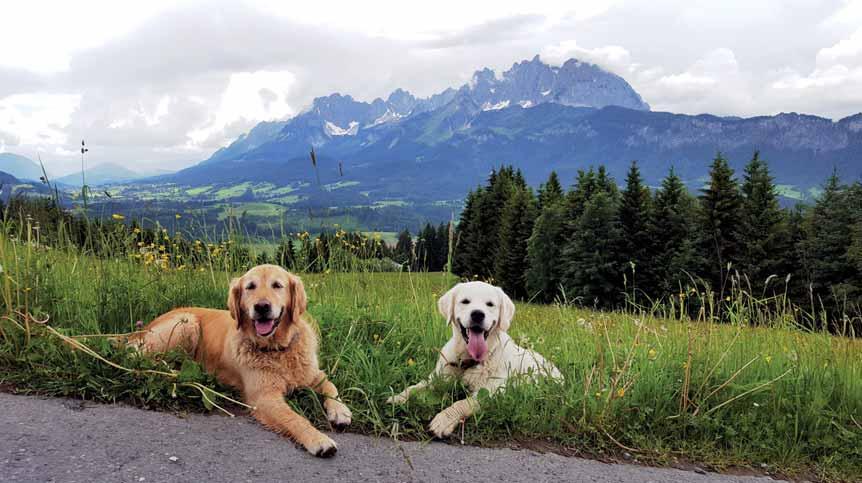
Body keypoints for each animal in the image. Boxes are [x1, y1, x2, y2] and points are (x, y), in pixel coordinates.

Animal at [131, 264, 352, 458]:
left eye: (277, 285)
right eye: (250, 286)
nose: (262, 307)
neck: (276, 349)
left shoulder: (312, 373)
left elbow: (330, 385)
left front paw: (340, 411)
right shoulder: (264, 398)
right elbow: (295, 418)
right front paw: (318, 439)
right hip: (186, 323)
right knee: (138, 357)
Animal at [386, 280, 564, 438]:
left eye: (490, 304)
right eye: (465, 301)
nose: (478, 314)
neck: (469, 360)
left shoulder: (491, 392)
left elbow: (462, 403)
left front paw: (443, 420)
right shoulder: (438, 376)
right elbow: (416, 386)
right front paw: (398, 397)